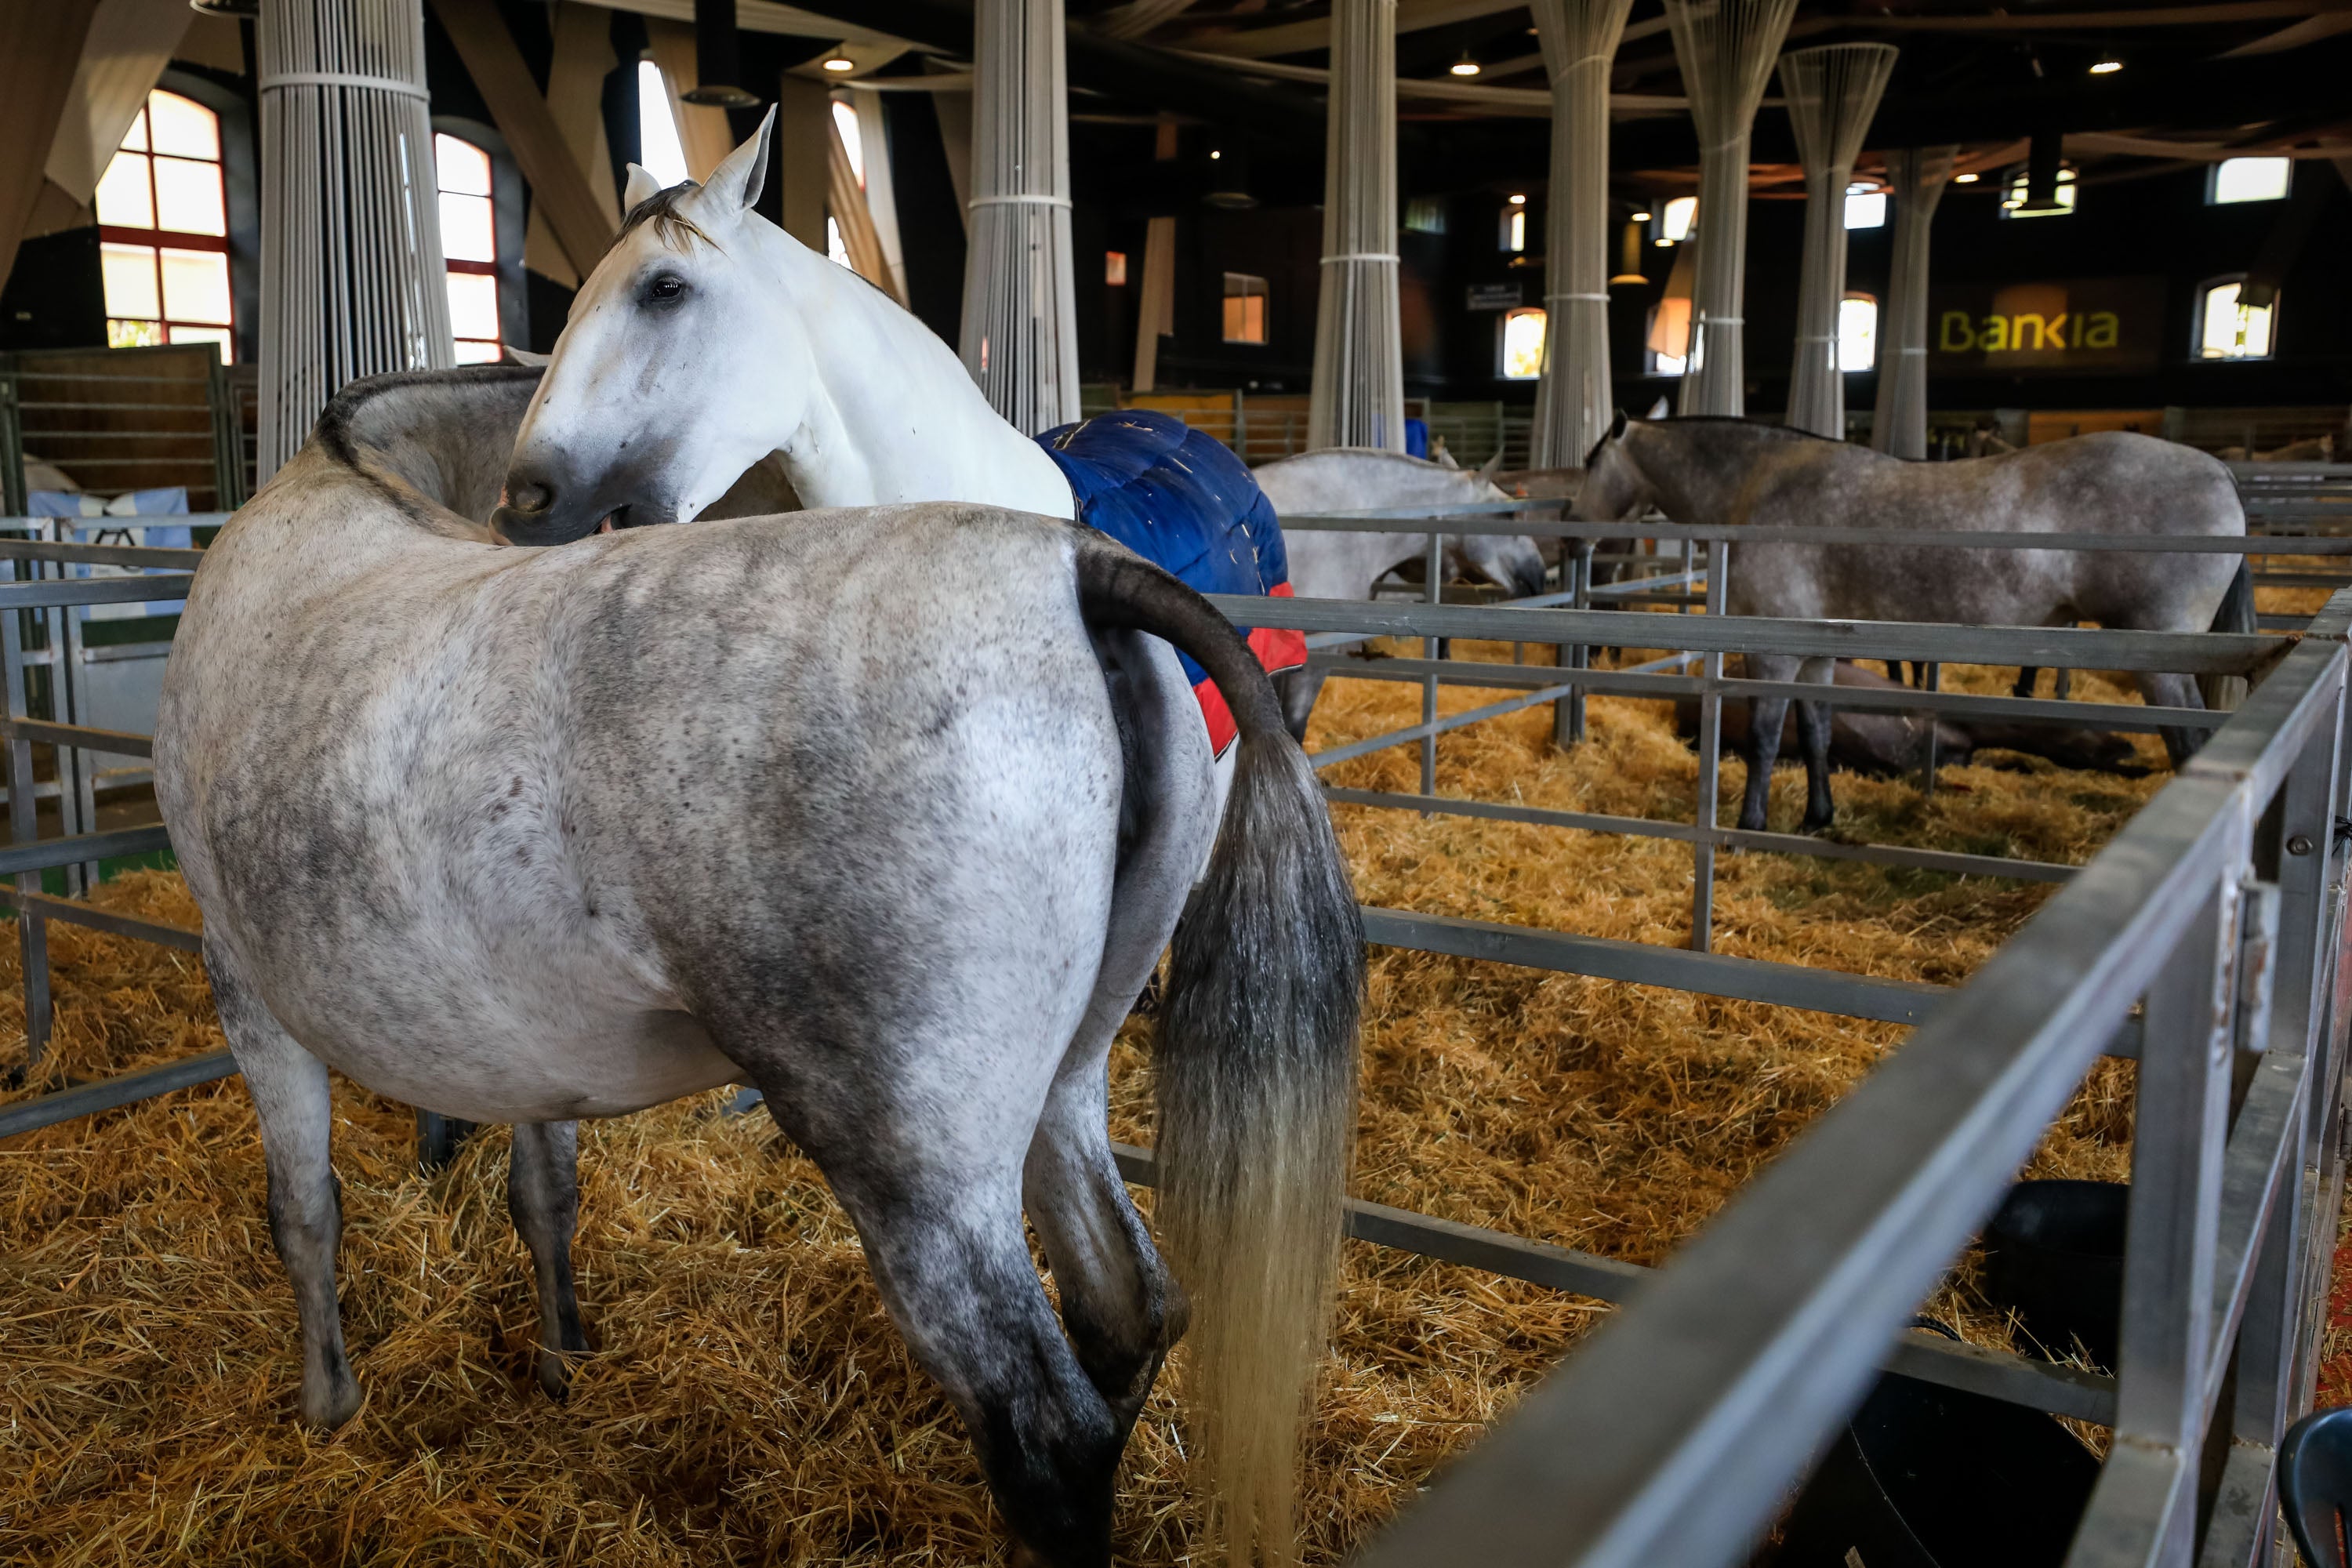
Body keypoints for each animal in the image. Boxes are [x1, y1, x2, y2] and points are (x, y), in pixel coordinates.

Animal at [156, 368, 1374, 1568]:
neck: (355, 486)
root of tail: (1079, 567)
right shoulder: (525, 1040)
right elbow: (542, 1196)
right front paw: (563, 1356)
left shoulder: (244, 984)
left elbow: (305, 1208)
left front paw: (328, 1404)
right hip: (1063, 1090)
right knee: (1127, 1308)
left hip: (915, 1165)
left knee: (1047, 1432)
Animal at [1571, 413, 2249, 832]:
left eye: (1588, 462)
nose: (1577, 535)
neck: (1764, 482)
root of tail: (2221, 474)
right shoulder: (1814, 653)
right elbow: (1815, 731)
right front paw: (1818, 818)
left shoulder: (1773, 653)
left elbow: (1763, 738)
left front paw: (1749, 825)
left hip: (2161, 667)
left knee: (2188, 743)